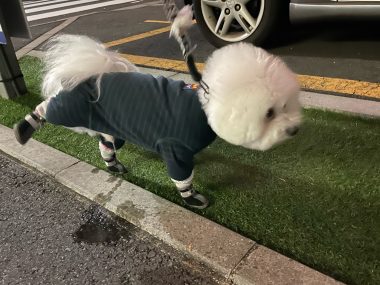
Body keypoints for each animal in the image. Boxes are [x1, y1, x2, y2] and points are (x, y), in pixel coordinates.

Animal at [13, 29, 302, 209]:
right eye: (269, 113)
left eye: (286, 105)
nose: (294, 130)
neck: (204, 106)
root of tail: (91, 74)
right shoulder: (175, 149)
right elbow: (183, 178)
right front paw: (192, 199)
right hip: (73, 107)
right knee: (49, 107)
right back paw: (26, 126)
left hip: (112, 127)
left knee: (107, 144)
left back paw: (113, 164)